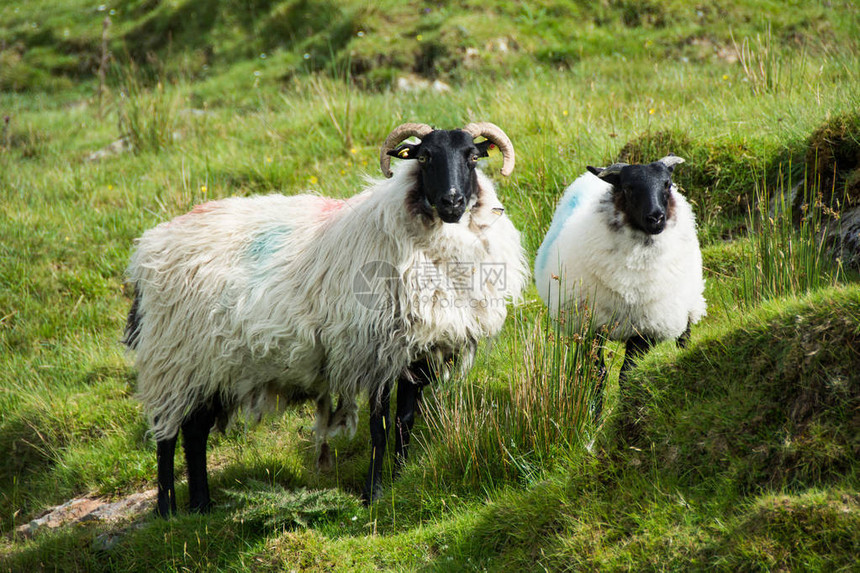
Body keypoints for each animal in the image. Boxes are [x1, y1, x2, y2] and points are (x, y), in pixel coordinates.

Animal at [124, 122, 528, 512]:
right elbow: (380, 427)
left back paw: (201, 507)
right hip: (174, 359)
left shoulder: (415, 352)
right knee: (167, 436)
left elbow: (404, 422)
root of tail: (148, 250)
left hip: (210, 368)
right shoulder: (375, 352)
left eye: (472, 156)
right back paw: (166, 511)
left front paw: (399, 479)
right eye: (425, 157)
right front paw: (373, 494)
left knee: (194, 432)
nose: (452, 201)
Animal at [536, 156, 704, 420]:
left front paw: (626, 411)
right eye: (628, 188)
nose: (656, 218)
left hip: (687, 304)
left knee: (684, 338)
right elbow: (597, 374)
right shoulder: (589, 326)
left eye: (667, 184)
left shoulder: (645, 328)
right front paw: (594, 419)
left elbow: (628, 372)